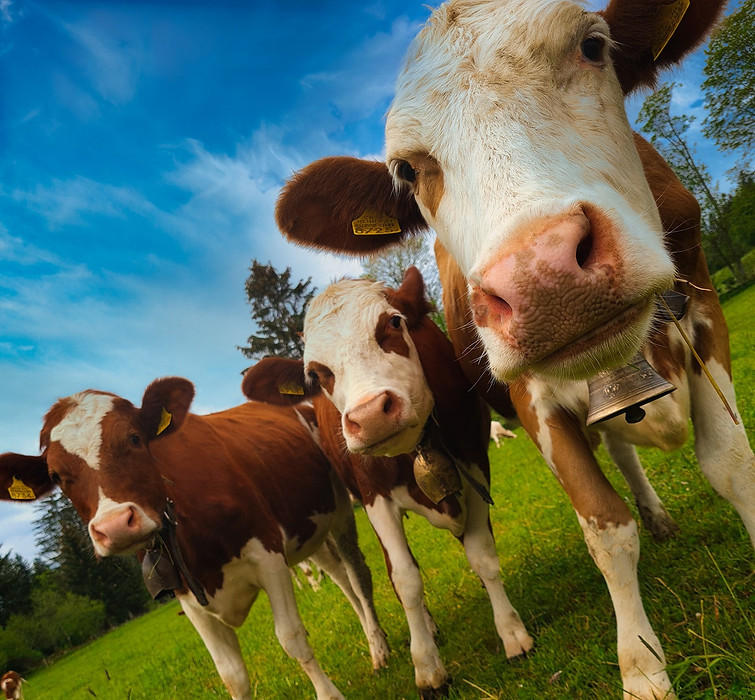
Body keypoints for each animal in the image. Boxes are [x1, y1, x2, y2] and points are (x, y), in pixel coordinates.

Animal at [0, 380, 390, 700]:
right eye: (56, 475)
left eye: (134, 439)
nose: (115, 526)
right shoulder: (188, 597)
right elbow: (232, 675)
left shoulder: (267, 556)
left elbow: (292, 638)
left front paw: (330, 694)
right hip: (306, 529)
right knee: (339, 577)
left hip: (340, 507)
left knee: (356, 574)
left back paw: (378, 649)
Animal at [241, 267, 533, 698]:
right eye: (316, 373)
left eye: (394, 323)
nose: (370, 415)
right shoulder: (374, 498)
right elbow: (405, 579)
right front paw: (427, 667)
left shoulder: (475, 463)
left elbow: (482, 555)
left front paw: (511, 631)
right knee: (379, 574)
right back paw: (404, 638)